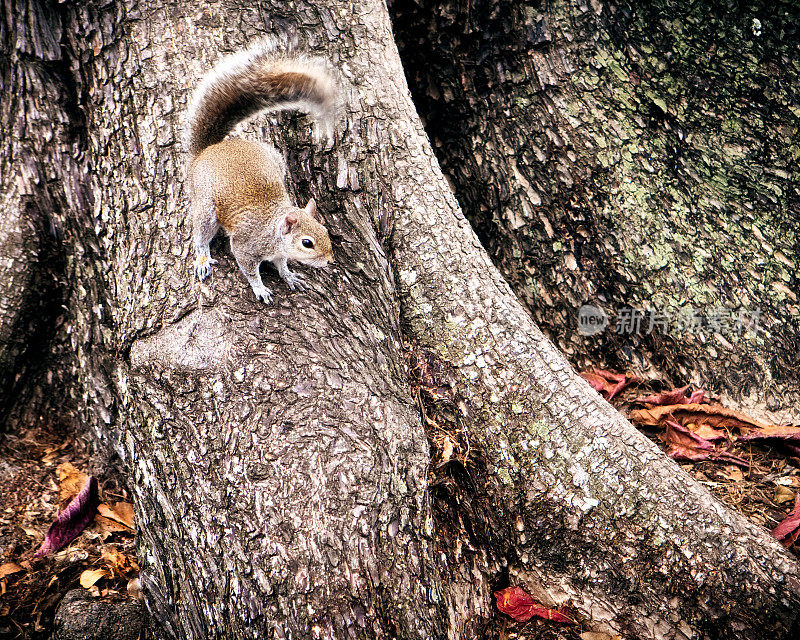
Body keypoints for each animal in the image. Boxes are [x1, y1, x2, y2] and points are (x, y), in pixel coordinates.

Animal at [184, 39, 338, 304]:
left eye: (325, 230)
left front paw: (289, 275)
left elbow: (282, 263)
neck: (273, 232)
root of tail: (209, 150)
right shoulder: (245, 246)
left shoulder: (278, 253)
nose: (329, 260)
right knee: (201, 234)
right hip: (206, 205)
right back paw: (202, 258)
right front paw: (260, 288)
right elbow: (249, 270)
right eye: (307, 243)